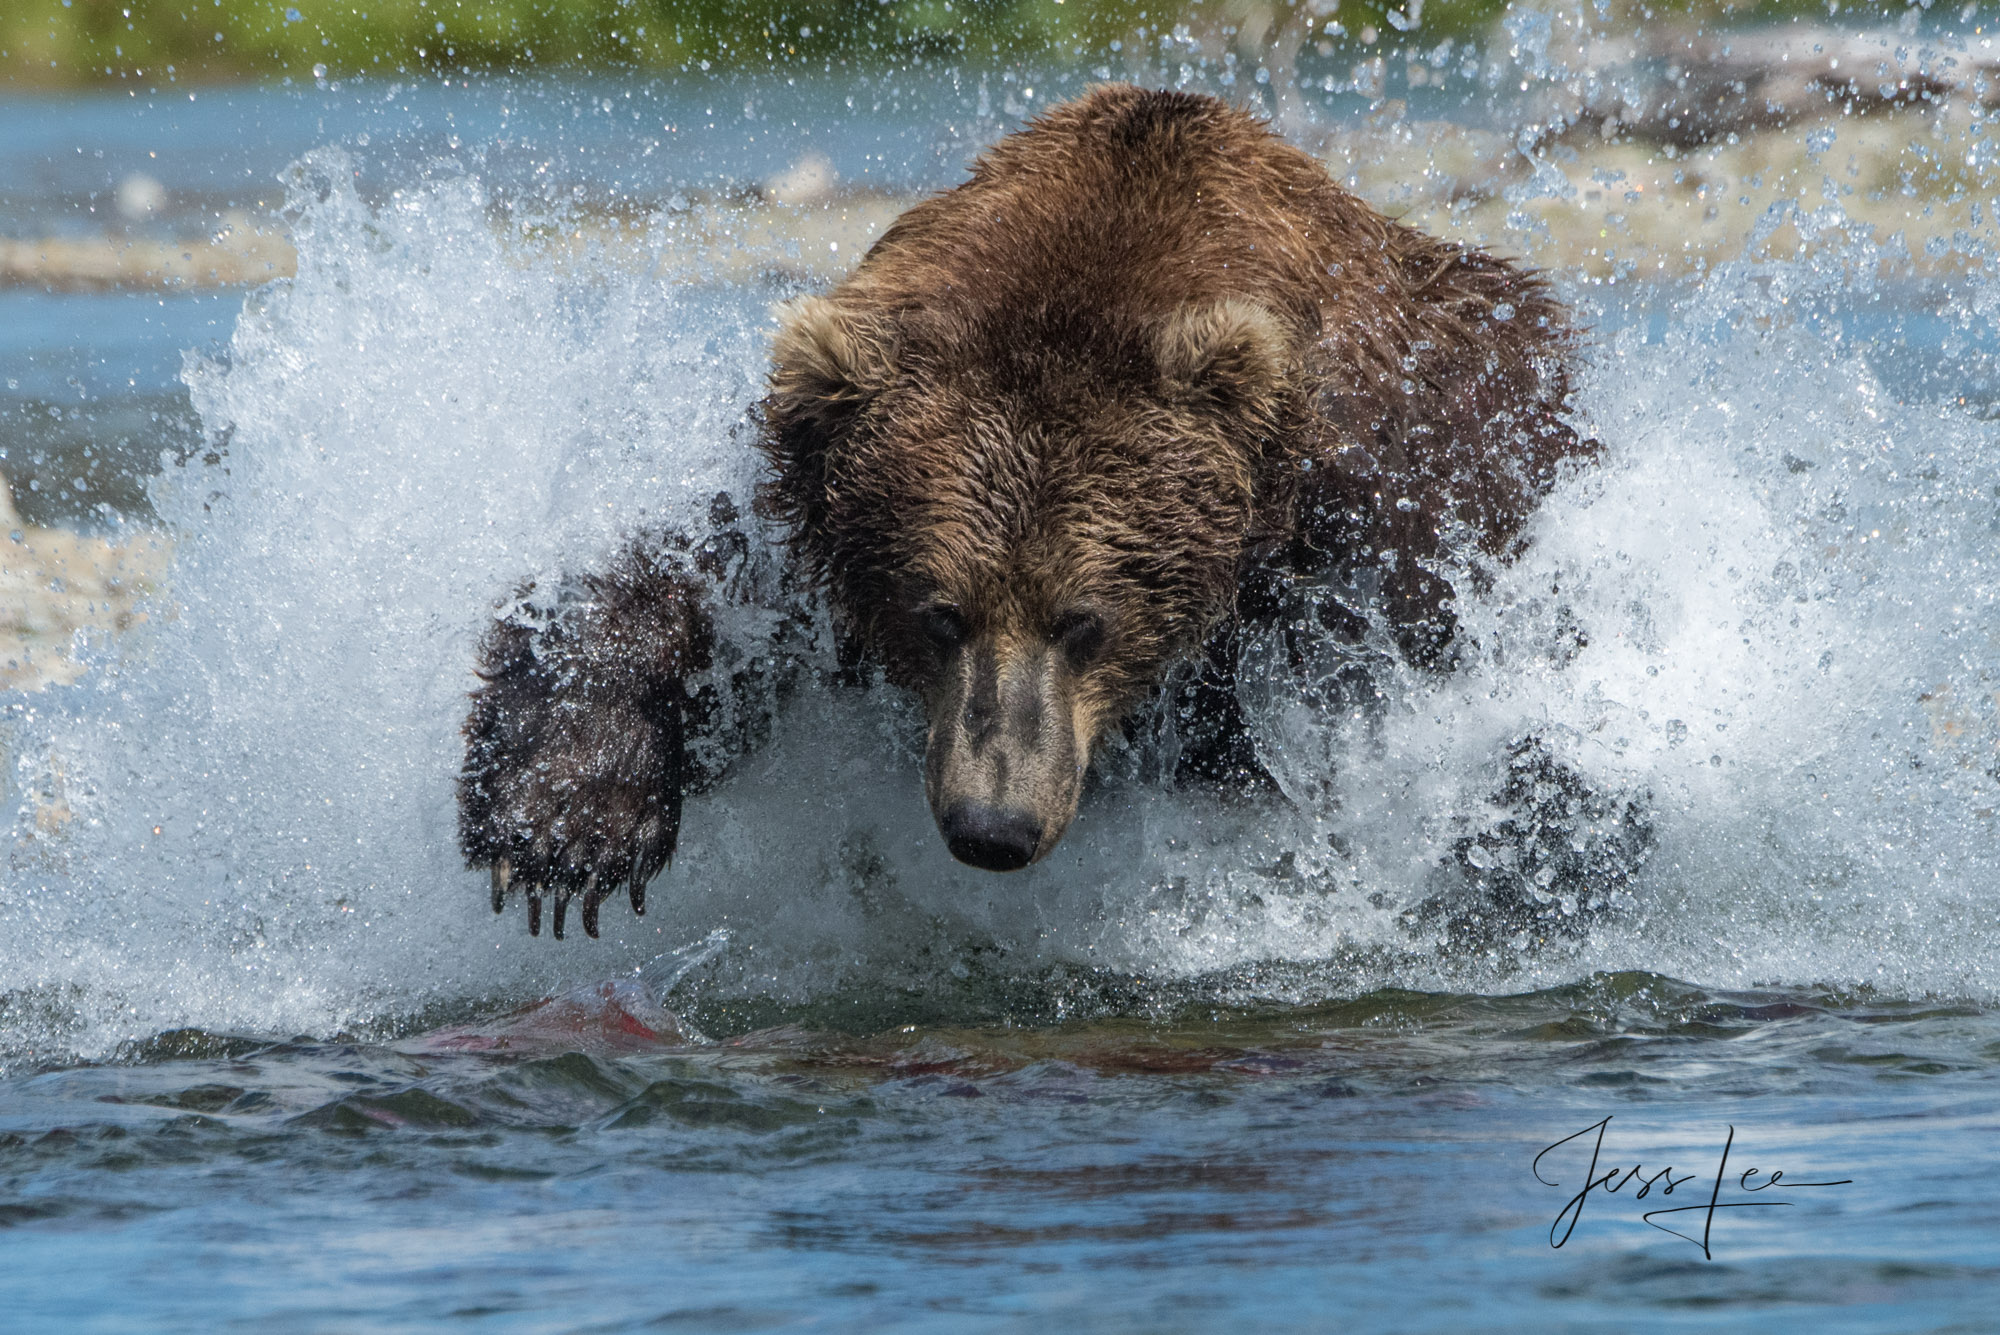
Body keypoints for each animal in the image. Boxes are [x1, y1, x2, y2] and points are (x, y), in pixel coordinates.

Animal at [458, 83, 1592, 939]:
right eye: (938, 613)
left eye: (1084, 618)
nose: (991, 823)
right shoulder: (817, 534)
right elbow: (674, 594)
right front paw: (563, 828)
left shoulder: (1384, 515)